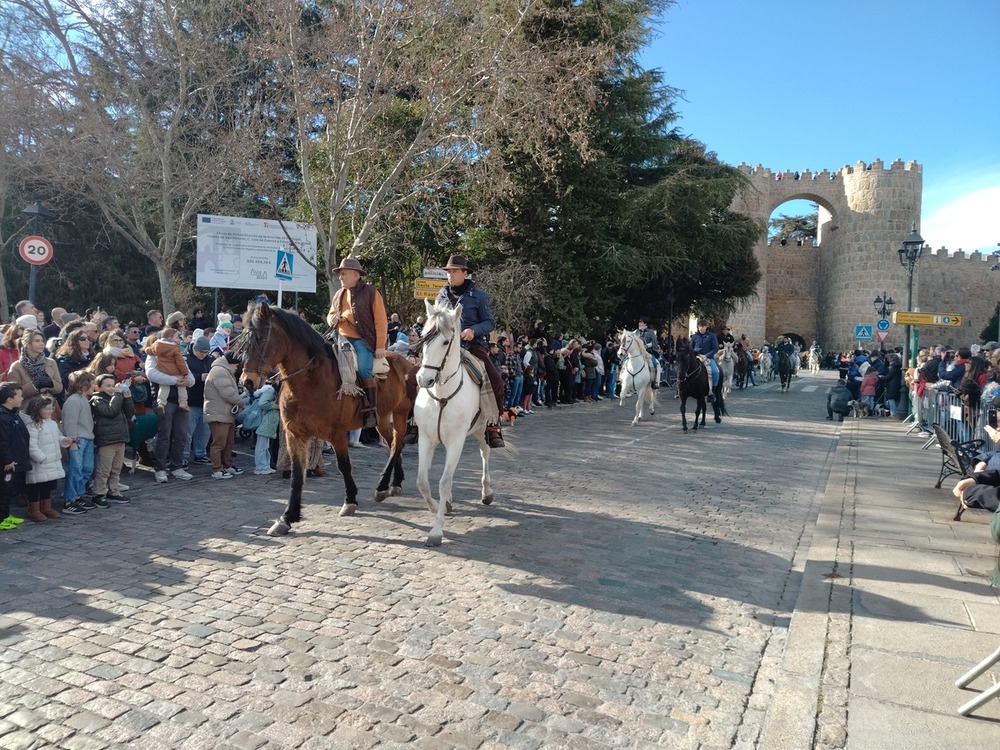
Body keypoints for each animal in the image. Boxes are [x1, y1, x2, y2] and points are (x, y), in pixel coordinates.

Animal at [234, 302, 414, 536]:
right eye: (243, 342)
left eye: (262, 339)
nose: (247, 381)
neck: (311, 381)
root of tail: (406, 363)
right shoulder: (295, 435)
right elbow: (297, 475)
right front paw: (287, 517)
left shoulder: (337, 434)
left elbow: (344, 466)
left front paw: (350, 501)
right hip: (383, 419)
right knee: (394, 444)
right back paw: (394, 483)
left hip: (400, 414)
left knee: (396, 445)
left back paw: (382, 486)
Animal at [412, 302, 494, 552]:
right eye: (423, 338)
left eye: (446, 342)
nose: (423, 380)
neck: (441, 396)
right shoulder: (426, 439)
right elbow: (422, 482)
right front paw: (439, 507)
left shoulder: (456, 441)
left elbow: (444, 482)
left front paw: (436, 531)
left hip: (481, 429)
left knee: (485, 453)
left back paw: (487, 492)